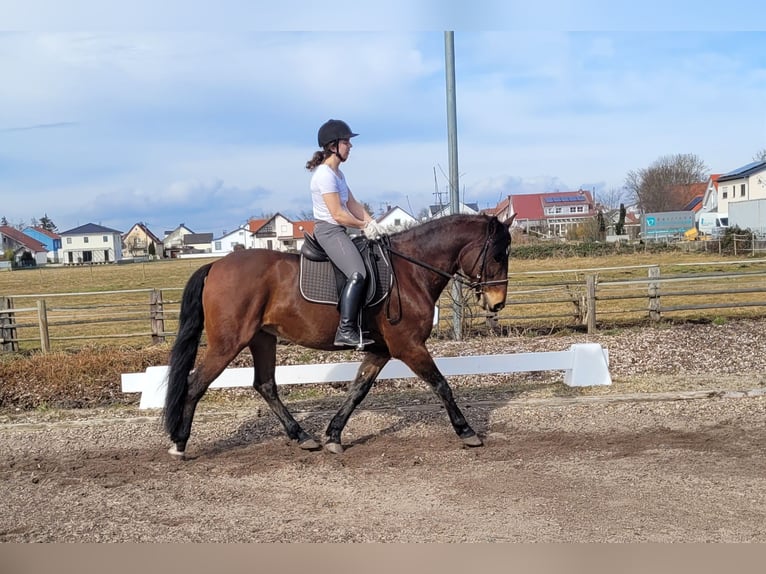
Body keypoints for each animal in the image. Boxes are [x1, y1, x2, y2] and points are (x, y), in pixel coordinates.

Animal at [166, 214, 520, 462]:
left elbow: (358, 390)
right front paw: (467, 431)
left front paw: (334, 435)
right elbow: (442, 385)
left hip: (262, 339)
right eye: (498, 255)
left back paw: (302, 436)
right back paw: (180, 444)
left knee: (265, 385)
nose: (497, 303)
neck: (410, 272)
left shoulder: (381, 350)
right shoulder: (409, 346)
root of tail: (215, 265)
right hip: (228, 343)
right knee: (195, 384)